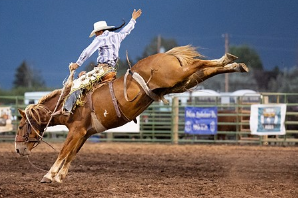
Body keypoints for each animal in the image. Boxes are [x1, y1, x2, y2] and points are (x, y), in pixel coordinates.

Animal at [14, 44, 248, 183]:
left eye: (20, 125)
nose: (17, 149)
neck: (66, 103)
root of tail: (163, 55)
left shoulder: (77, 130)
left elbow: (63, 152)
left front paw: (49, 175)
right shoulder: (85, 133)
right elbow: (72, 154)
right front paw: (60, 177)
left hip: (176, 76)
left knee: (199, 64)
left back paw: (229, 58)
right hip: (181, 82)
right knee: (204, 71)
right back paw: (236, 65)